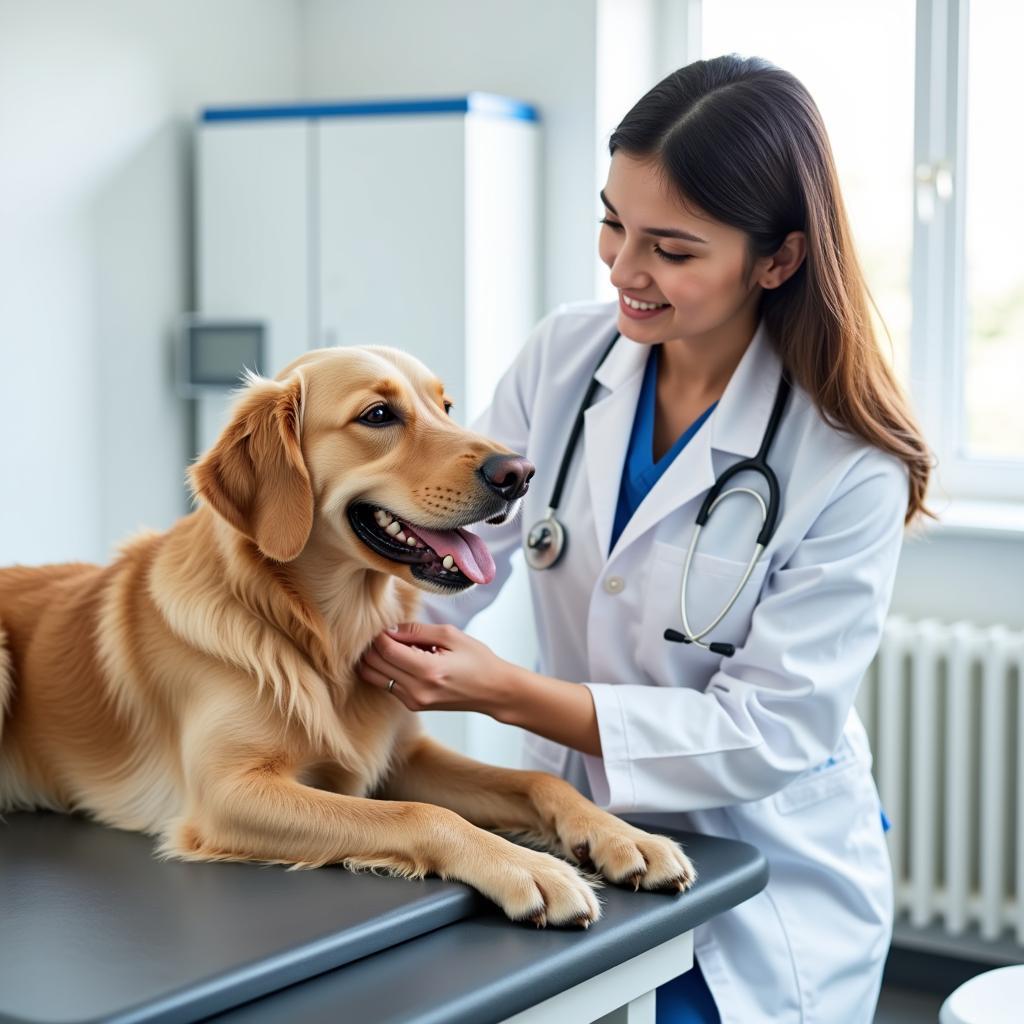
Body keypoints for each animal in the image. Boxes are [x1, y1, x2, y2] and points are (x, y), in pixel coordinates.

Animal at [2, 346, 696, 929]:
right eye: (379, 415)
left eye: (445, 407)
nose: (519, 472)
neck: (317, 631)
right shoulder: (229, 793)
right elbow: (422, 813)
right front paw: (532, 868)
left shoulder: (402, 756)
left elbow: (538, 781)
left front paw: (623, 836)